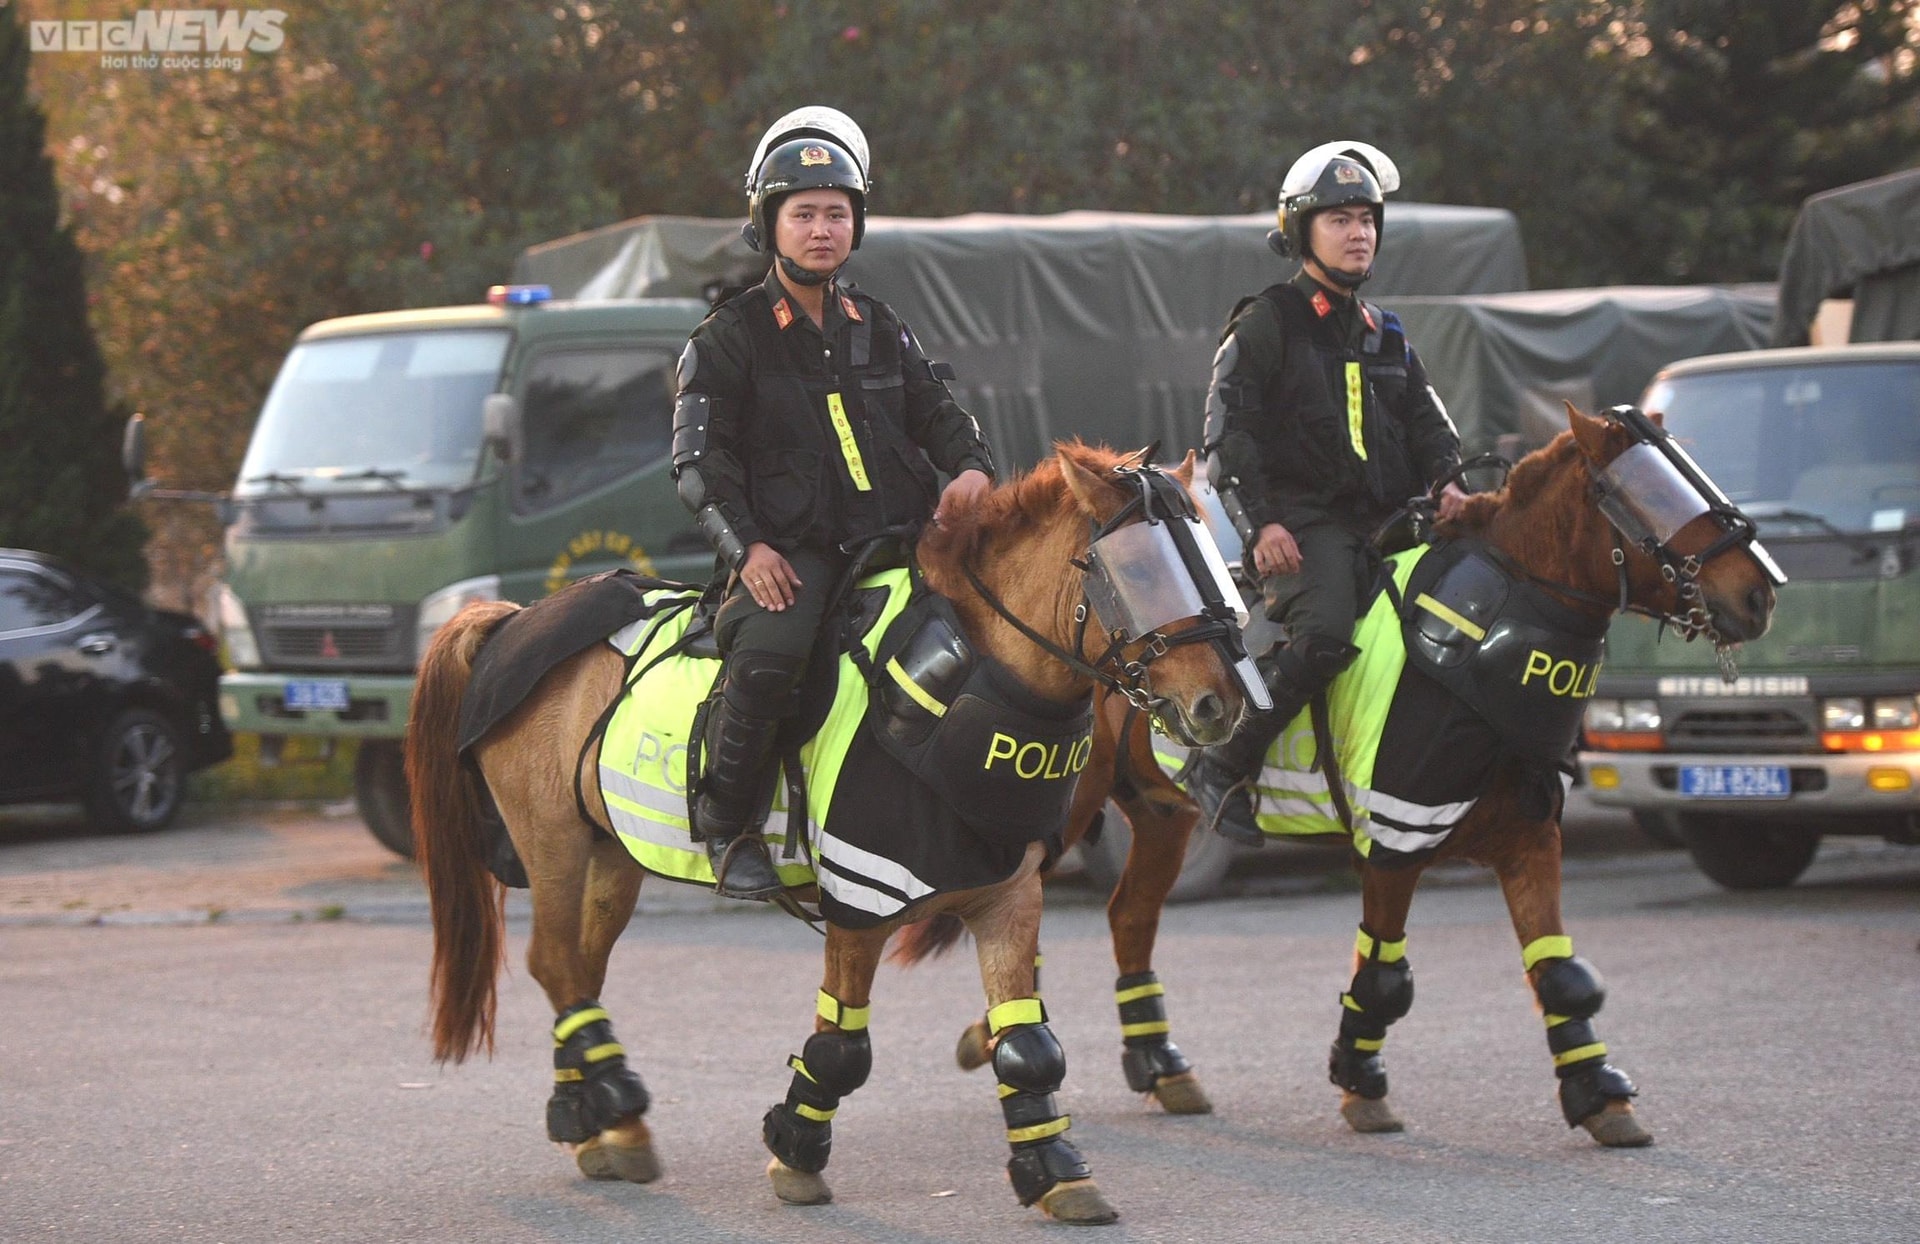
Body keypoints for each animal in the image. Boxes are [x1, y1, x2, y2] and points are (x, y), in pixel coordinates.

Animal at [408, 439, 1244, 1220]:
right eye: (1138, 573)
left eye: (1210, 558)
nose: (1219, 704)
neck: (958, 691)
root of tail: (515, 619)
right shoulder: (860, 900)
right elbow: (842, 1048)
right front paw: (796, 1152)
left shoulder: (1008, 896)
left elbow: (1027, 1043)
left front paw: (1058, 1172)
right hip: (554, 844)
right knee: (554, 961)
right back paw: (616, 1105)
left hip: (611, 856)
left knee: (576, 969)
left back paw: (591, 1118)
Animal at [906, 405, 1774, 1144]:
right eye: (1648, 496)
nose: (1760, 592)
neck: (1473, 647)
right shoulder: (1396, 835)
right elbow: (1385, 976)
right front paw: (1361, 1082)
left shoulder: (1530, 838)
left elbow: (1561, 974)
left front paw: (1599, 1096)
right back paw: (1002, 1031)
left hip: (1161, 814)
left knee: (1129, 917)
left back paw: (1157, 1064)